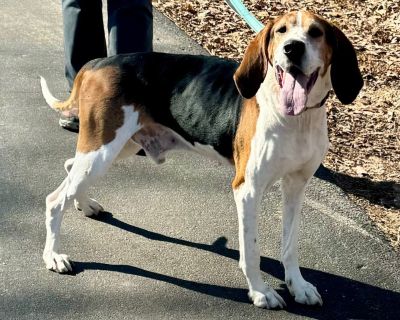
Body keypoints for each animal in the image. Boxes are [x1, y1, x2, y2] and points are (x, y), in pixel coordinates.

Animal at [39, 11, 362, 308]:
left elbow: (290, 244)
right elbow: (251, 251)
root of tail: (98, 63)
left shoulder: (296, 186)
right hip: (104, 149)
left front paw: (298, 285)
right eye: (281, 30)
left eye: (316, 32)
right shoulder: (248, 190)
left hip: (117, 147)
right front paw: (260, 291)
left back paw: (84, 204)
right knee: (55, 199)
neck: (297, 119)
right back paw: (53, 256)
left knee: (70, 168)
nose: (292, 48)